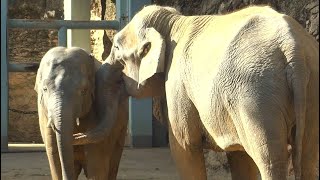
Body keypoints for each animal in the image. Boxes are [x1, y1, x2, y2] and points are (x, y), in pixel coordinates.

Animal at [35, 46, 129, 180]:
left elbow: (96, 165)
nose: (76, 137)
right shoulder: (43, 112)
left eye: (83, 91)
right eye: (45, 89)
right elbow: (55, 158)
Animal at [74, 4, 318, 179]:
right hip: (308, 89)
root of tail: (293, 49)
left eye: (116, 48)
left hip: (257, 95)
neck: (174, 22)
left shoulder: (177, 82)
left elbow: (183, 145)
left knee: (270, 160)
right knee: (307, 159)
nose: (76, 136)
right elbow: (239, 157)